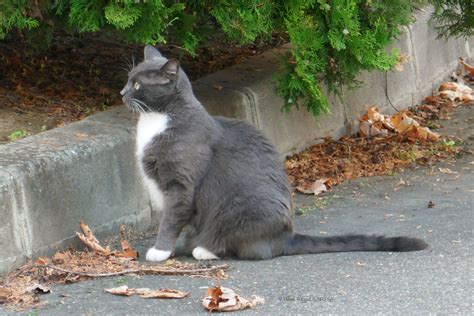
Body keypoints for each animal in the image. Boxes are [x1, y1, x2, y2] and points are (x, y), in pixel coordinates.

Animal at [120, 44, 428, 262]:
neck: (157, 120)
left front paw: (160, 251)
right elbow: (172, 220)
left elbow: (171, 219)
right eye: (127, 79)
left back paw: (204, 249)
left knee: (250, 248)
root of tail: (287, 236)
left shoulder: (180, 185)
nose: (121, 93)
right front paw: (172, 248)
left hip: (243, 210)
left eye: (137, 85)